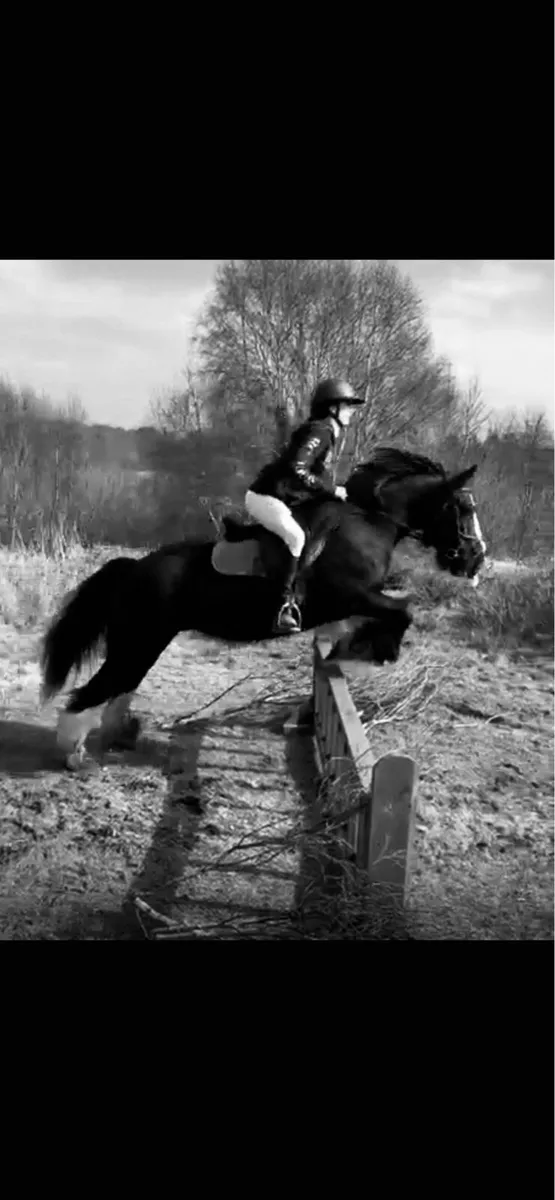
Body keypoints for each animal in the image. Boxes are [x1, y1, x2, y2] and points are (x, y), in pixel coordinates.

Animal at [40, 447, 486, 768]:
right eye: (463, 509)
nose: (475, 560)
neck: (370, 522)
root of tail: (133, 568)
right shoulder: (351, 595)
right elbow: (403, 611)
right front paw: (371, 655)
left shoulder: (353, 604)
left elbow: (378, 619)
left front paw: (355, 651)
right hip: (139, 639)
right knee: (95, 689)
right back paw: (73, 752)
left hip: (145, 642)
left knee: (120, 685)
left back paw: (117, 736)